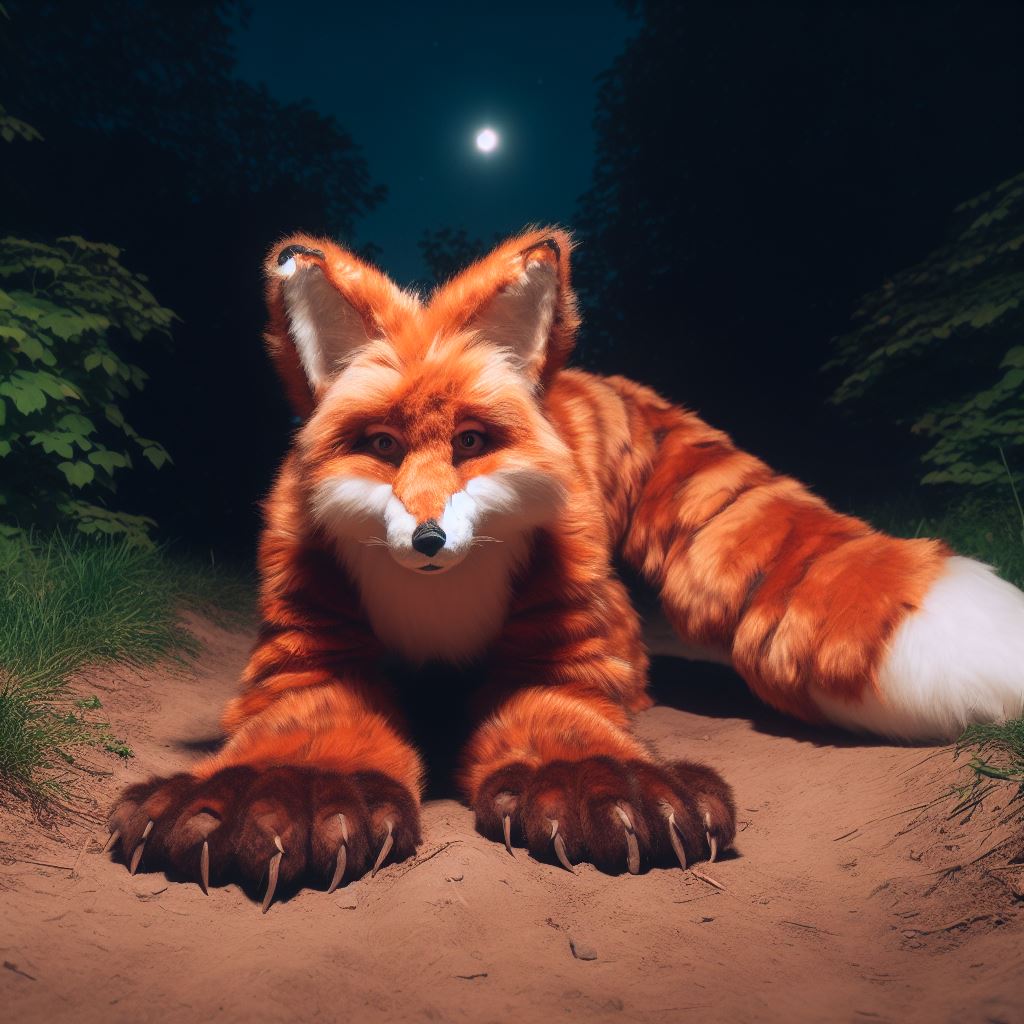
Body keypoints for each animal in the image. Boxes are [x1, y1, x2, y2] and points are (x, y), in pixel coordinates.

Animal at [106, 227, 1024, 910]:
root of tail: (580, 375)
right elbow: (308, 736)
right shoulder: (313, 645)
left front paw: (598, 788)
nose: (429, 538)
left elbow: (563, 722)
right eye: (384, 445)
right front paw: (280, 797)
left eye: (471, 442)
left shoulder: (557, 642)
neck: (437, 608)